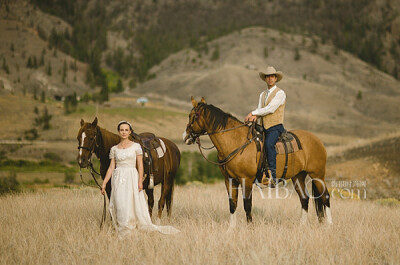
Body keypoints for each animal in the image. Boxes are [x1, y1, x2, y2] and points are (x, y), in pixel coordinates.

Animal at [183, 97, 330, 227]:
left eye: (192, 116)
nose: (185, 137)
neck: (237, 142)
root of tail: (317, 140)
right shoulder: (229, 180)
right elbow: (232, 204)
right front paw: (231, 229)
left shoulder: (246, 180)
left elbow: (247, 205)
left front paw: (250, 228)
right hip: (298, 176)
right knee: (304, 198)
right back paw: (302, 225)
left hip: (317, 175)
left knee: (325, 197)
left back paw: (329, 225)